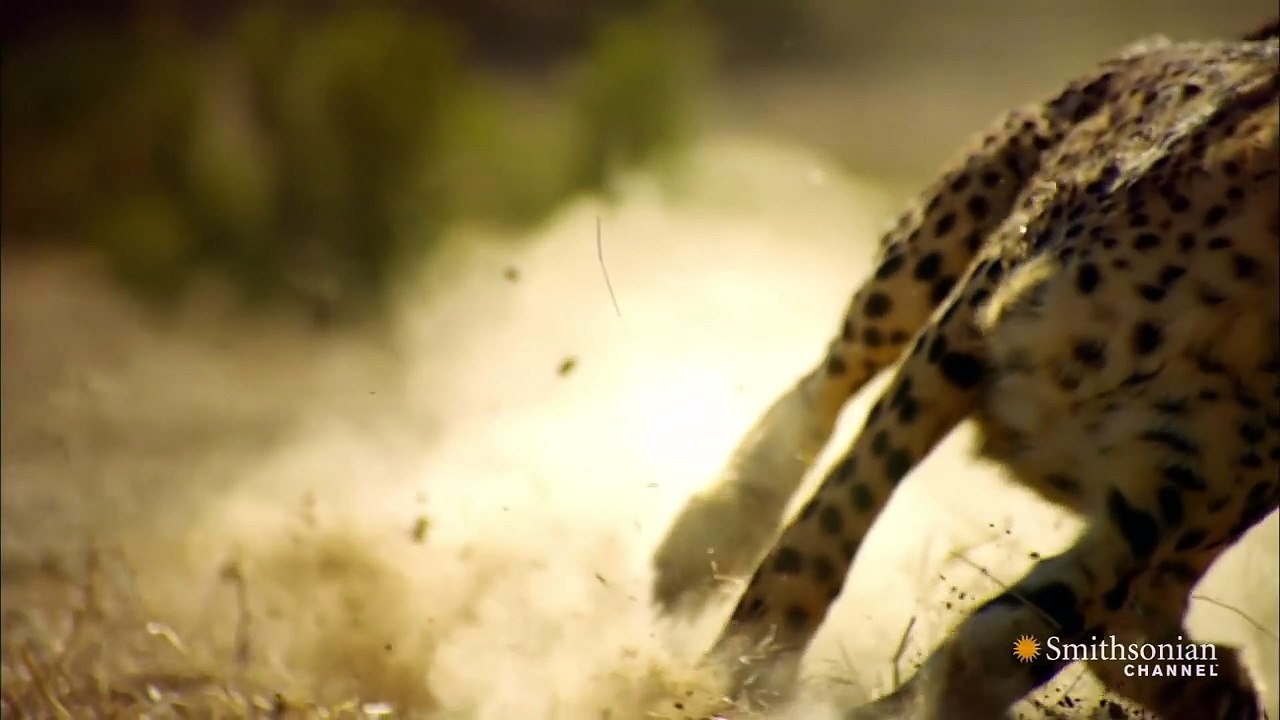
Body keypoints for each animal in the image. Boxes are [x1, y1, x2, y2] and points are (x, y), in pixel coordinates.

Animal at [652, 18, 1279, 720]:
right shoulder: (960, 337)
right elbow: (833, 517)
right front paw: (741, 663)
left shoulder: (1146, 523)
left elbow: (1006, 642)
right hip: (926, 256)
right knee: (823, 389)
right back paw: (706, 537)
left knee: (1139, 620)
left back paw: (1220, 688)